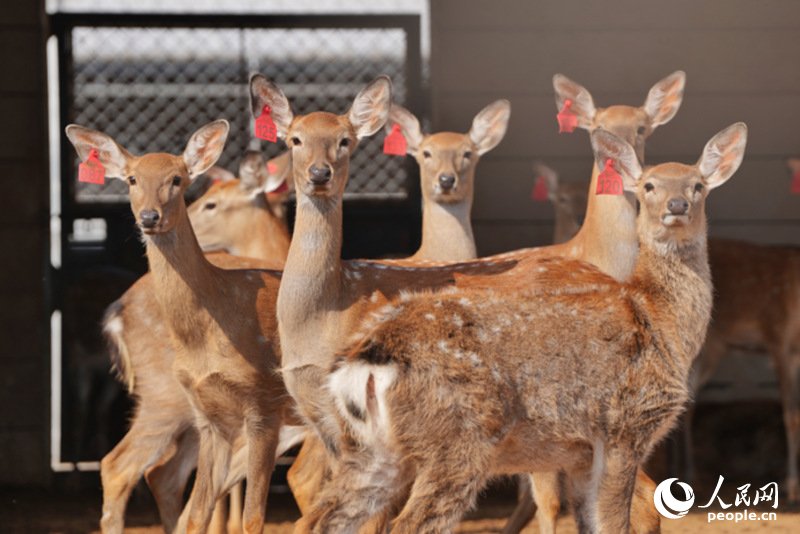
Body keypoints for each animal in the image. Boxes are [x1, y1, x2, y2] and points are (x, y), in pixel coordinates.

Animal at [305, 122, 747, 534]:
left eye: (698, 185)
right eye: (649, 185)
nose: (677, 204)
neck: (661, 319)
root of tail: (365, 362)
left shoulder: (580, 453)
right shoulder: (626, 426)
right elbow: (615, 523)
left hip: (370, 450)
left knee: (318, 519)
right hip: (456, 440)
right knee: (410, 523)